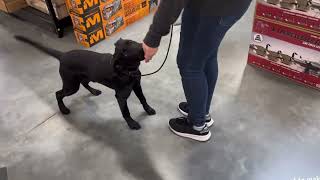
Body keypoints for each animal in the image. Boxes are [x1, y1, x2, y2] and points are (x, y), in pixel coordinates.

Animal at [14, 35, 155, 130]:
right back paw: (63, 109)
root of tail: (63, 55)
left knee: (84, 84)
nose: (144, 49)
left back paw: (94, 91)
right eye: (124, 54)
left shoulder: (137, 85)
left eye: (130, 42)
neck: (128, 70)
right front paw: (132, 123)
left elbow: (143, 99)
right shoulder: (120, 96)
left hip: (84, 78)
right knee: (58, 93)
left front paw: (149, 109)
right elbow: (126, 112)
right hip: (71, 85)